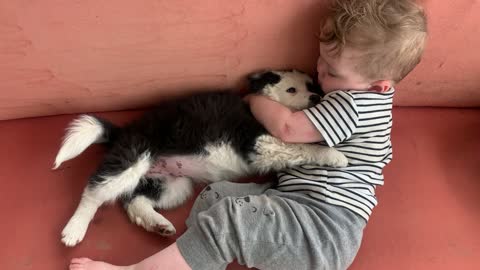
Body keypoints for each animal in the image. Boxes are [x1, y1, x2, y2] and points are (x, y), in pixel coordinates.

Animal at [53, 69, 348, 247]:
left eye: (311, 85)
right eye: (291, 90)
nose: (316, 96)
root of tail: (122, 131)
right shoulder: (258, 141)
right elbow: (299, 145)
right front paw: (335, 155)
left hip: (173, 184)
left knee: (135, 202)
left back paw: (159, 224)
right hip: (133, 157)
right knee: (94, 192)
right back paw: (74, 230)